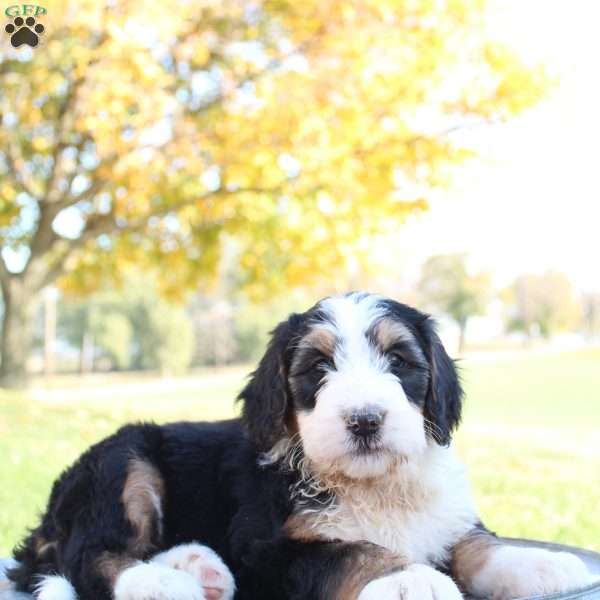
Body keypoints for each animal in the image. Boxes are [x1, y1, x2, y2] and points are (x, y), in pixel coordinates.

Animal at [8, 292, 592, 596]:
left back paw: (197, 567)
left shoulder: (445, 517)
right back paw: (161, 584)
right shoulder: (268, 548)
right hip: (125, 462)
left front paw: (540, 565)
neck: (373, 487)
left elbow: (475, 543)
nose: (364, 420)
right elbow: (353, 550)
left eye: (399, 361)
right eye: (317, 369)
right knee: (90, 555)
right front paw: (410, 579)